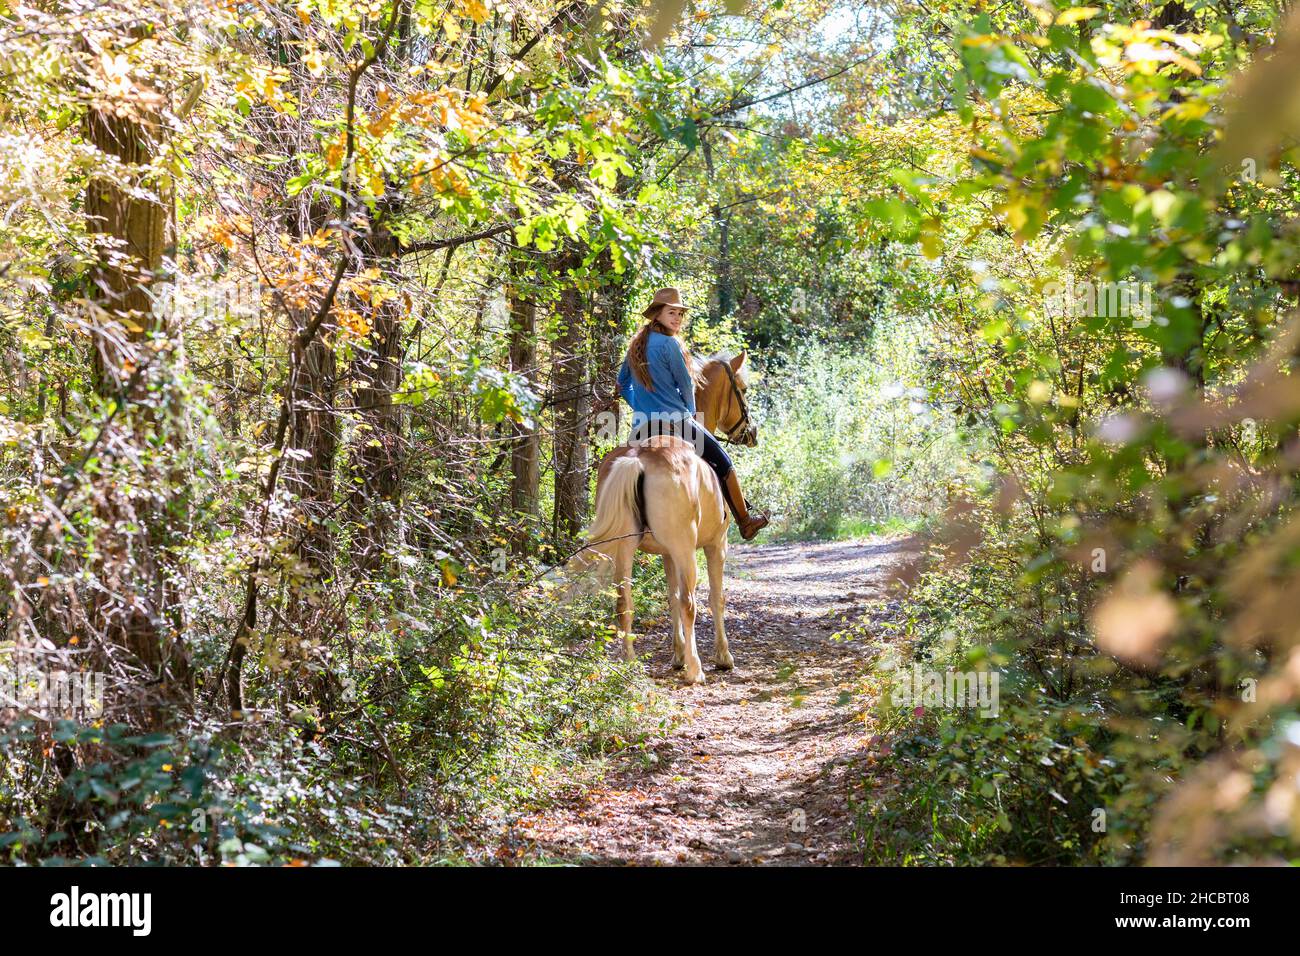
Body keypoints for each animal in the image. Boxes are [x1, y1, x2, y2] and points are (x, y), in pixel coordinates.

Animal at [579, 356, 754, 686]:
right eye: (742, 389)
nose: (752, 433)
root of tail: (638, 458)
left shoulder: (667, 553)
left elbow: (671, 598)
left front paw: (677, 655)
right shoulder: (716, 545)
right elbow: (715, 598)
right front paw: (722, 657)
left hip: (625, 547)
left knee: (623, 602)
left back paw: (631, 667)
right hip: (686, 548)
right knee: (690, 602)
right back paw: (695, 671)